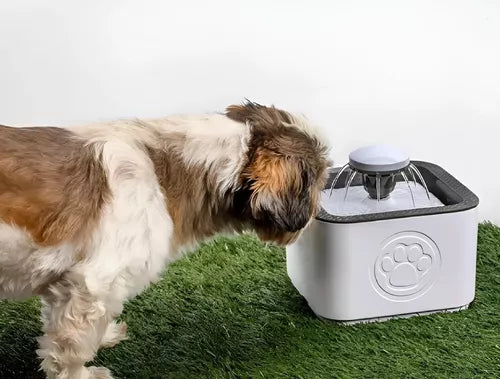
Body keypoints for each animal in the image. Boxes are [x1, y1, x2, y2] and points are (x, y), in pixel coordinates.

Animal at [0, 101, 330, 379]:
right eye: (319, 179)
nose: (317, 211)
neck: (163, 169)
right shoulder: (94, 282)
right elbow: (72, 345)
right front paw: (79, 374)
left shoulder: (72, 284)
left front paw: (103, 335)